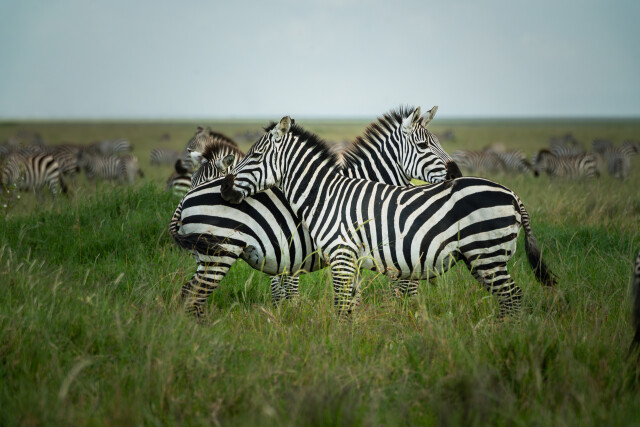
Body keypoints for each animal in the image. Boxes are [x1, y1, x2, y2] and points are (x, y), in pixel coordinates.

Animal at [170, 106, 461, 315]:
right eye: (424, 146)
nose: (456, 174)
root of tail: (186, 200)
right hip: (219, 253)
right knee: (193, 296)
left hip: (207, 255)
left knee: (189, 294)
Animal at [221, 116, 556, 317]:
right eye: (424, 144)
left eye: (254, 156)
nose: (224, 187)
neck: (326, 195)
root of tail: (512, 194)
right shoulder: (353, 260)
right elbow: (351, 304)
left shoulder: (344, 255)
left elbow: (344, 305)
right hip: (484, 258)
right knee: (509, 298)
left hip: (487, 254)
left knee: (512, 297)